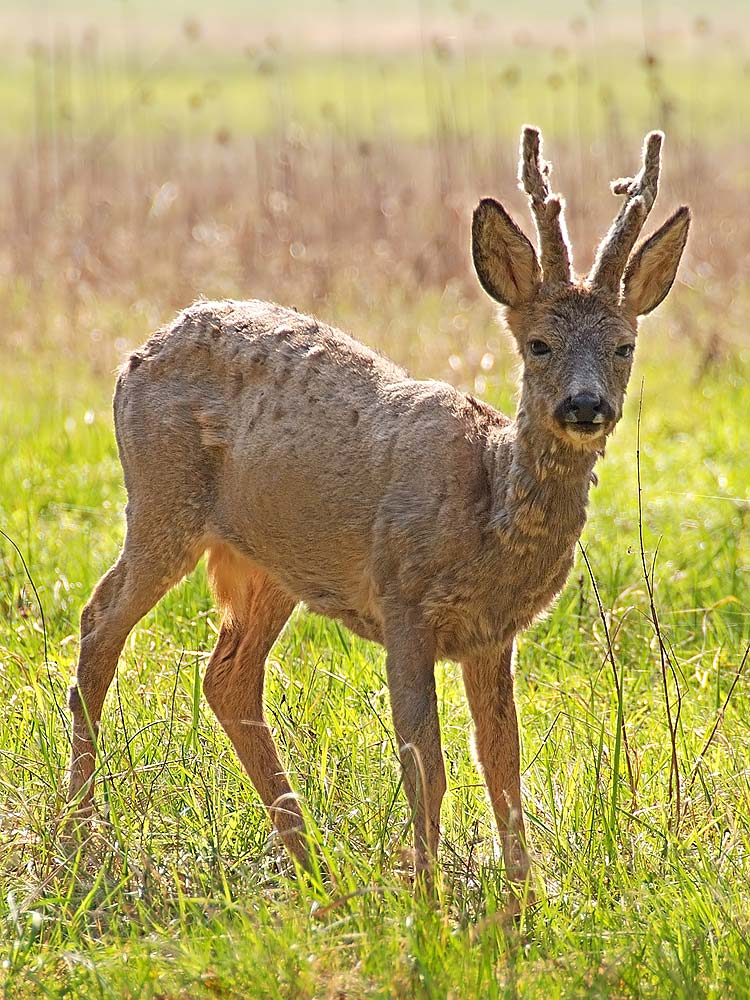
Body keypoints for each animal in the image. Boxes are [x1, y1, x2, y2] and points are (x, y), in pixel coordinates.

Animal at [67, 125, 692, 900]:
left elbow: (503, 766)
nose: (585, 406)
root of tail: (142, 350)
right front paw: (428, 897)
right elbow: (427, 764)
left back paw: (315, 868)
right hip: (161, 499)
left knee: (228, 678)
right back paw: (78, 837)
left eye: (624, 346)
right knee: (99, 626)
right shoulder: (404, 602)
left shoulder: (492, 634)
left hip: (270, 562)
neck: (488, 508)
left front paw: (522, 899)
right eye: (538, 343)